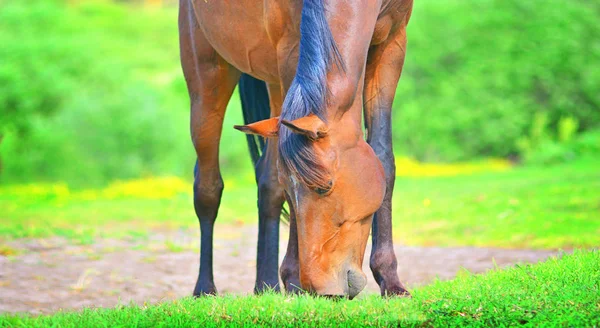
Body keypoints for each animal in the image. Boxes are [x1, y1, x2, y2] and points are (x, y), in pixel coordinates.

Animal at [178, 0, 412, 298]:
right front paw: (294, 280)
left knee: (266, 182)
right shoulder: (290, 50)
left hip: (272, 83)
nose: (323, 290)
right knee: (207, 187)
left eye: (325, 187)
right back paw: (206, 288)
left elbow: (383, 157)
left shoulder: (392, 43)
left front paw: (391, 281)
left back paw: (265, 285)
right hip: (207, 81)